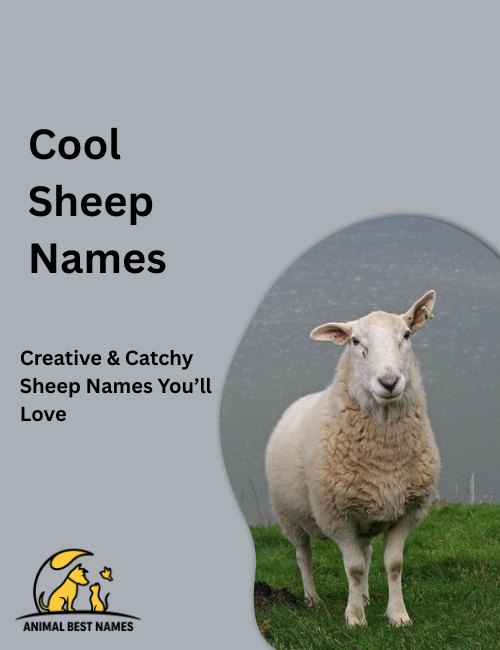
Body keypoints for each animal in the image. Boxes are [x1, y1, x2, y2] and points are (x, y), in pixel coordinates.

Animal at [265, 291, 441, 626]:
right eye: (355, 341)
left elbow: (393, 564)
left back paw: (368, 596)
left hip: (366, 513)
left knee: (367, 552)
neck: (385, 455)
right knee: (303, 555)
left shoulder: (406, 511)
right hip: (289, 516)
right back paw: (312, 599)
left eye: (406, 335)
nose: (389, 382)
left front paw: (397, 615)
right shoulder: (338, 516)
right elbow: (354, 568)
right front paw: (355, 618)